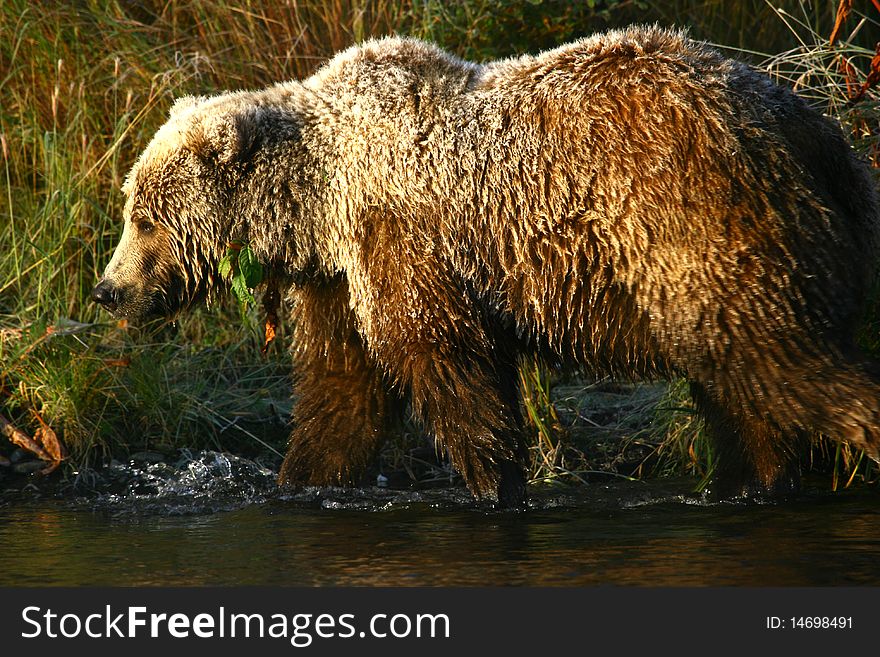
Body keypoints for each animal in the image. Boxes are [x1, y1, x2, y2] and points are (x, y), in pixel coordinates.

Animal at [93, 25, 880, 504]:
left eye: (145, 218)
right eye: (131, 203)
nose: (108, 290)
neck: (316, 204)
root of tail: (810, 125)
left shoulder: (401, 236)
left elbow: (441, 356)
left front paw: (492, 485)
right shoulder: (339, 277)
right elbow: (341, 390)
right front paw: (300, 481)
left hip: (697, 223)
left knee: (781, 357)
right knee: (742, 383)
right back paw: (751, 480)